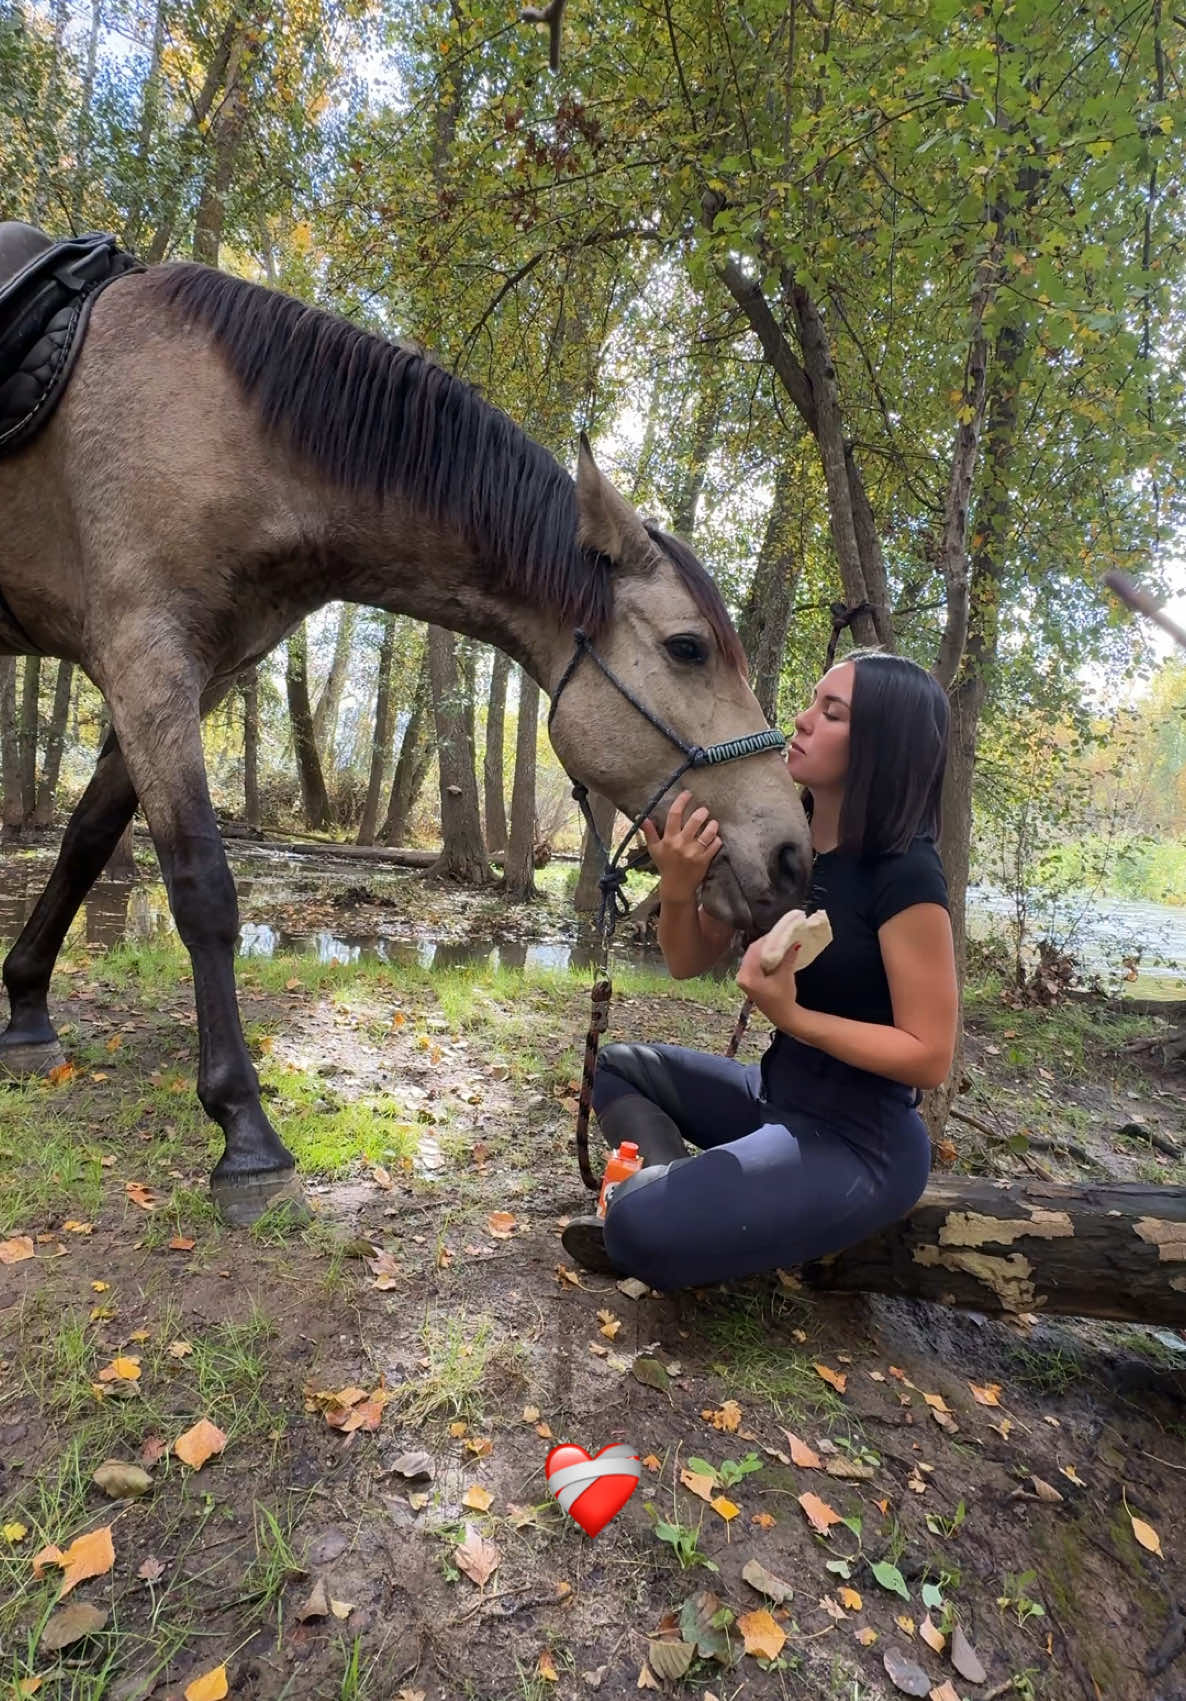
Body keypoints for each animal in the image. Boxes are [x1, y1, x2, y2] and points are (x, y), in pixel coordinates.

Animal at [0, 226, 809, 1217]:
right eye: (689, 648)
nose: (792, 851)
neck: (219, 418)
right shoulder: (144, 655)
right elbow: (201, 888)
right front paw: (245, 1131)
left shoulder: (189, 678)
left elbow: (83, 842)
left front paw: (27, 1011)